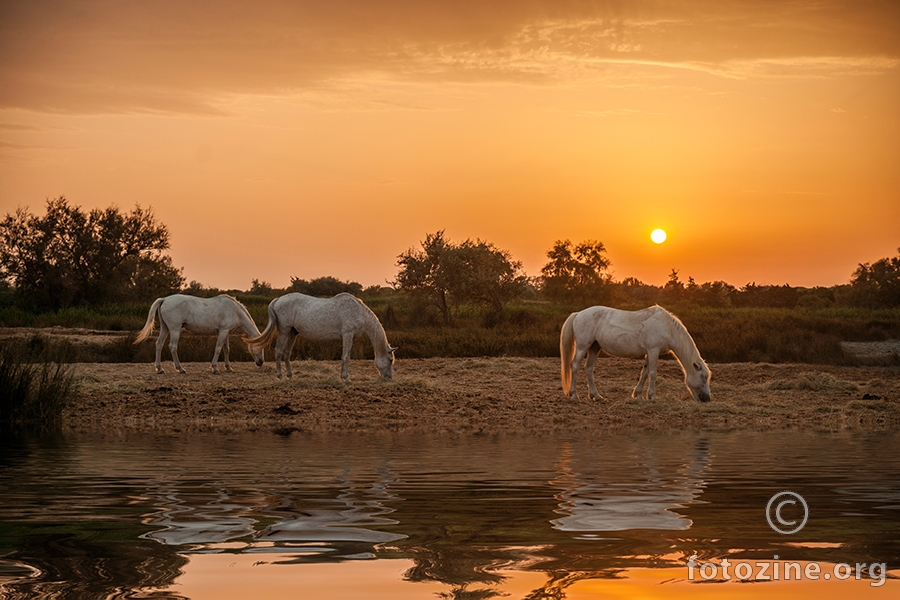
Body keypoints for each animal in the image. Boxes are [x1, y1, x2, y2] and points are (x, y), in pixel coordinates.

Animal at [134, 292, 264, 372]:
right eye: (260, 346)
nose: (261, 362)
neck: (235, 310)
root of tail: (164, 299)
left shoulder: (226, 332)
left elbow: (226, 349)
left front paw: (228, 367)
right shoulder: (223, 331)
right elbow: (218, 349)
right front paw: (215, 368)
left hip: (165, 328)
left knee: (159, 344)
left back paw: (160, 369)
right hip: (175, 329)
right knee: (173, 346)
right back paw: (180, 369)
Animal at [248, 292, 400, 382]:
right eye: (390, 359)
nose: (389, 378)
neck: (358, 311)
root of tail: (278, 299)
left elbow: (345, 357)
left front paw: (342, 376)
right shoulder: (347, 334)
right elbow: (346, 356)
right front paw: (346, 378)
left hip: (292, 333)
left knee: (286, 353)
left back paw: (290, 376)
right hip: (284, 331)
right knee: (279, 352)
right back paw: (280, 377)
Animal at [560, 308, 712, 400]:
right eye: (703, 377)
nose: (707, 399)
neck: (667, 328)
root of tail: (578, 314)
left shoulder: (649, 353)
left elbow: (644, 373)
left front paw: (637, 394)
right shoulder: (653, 350)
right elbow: (653, 374)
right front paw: (652, 396)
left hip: (594, 348)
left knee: (589, 369)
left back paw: (596, 396)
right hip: (582, 347)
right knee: (574, 366)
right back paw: (574, 395)